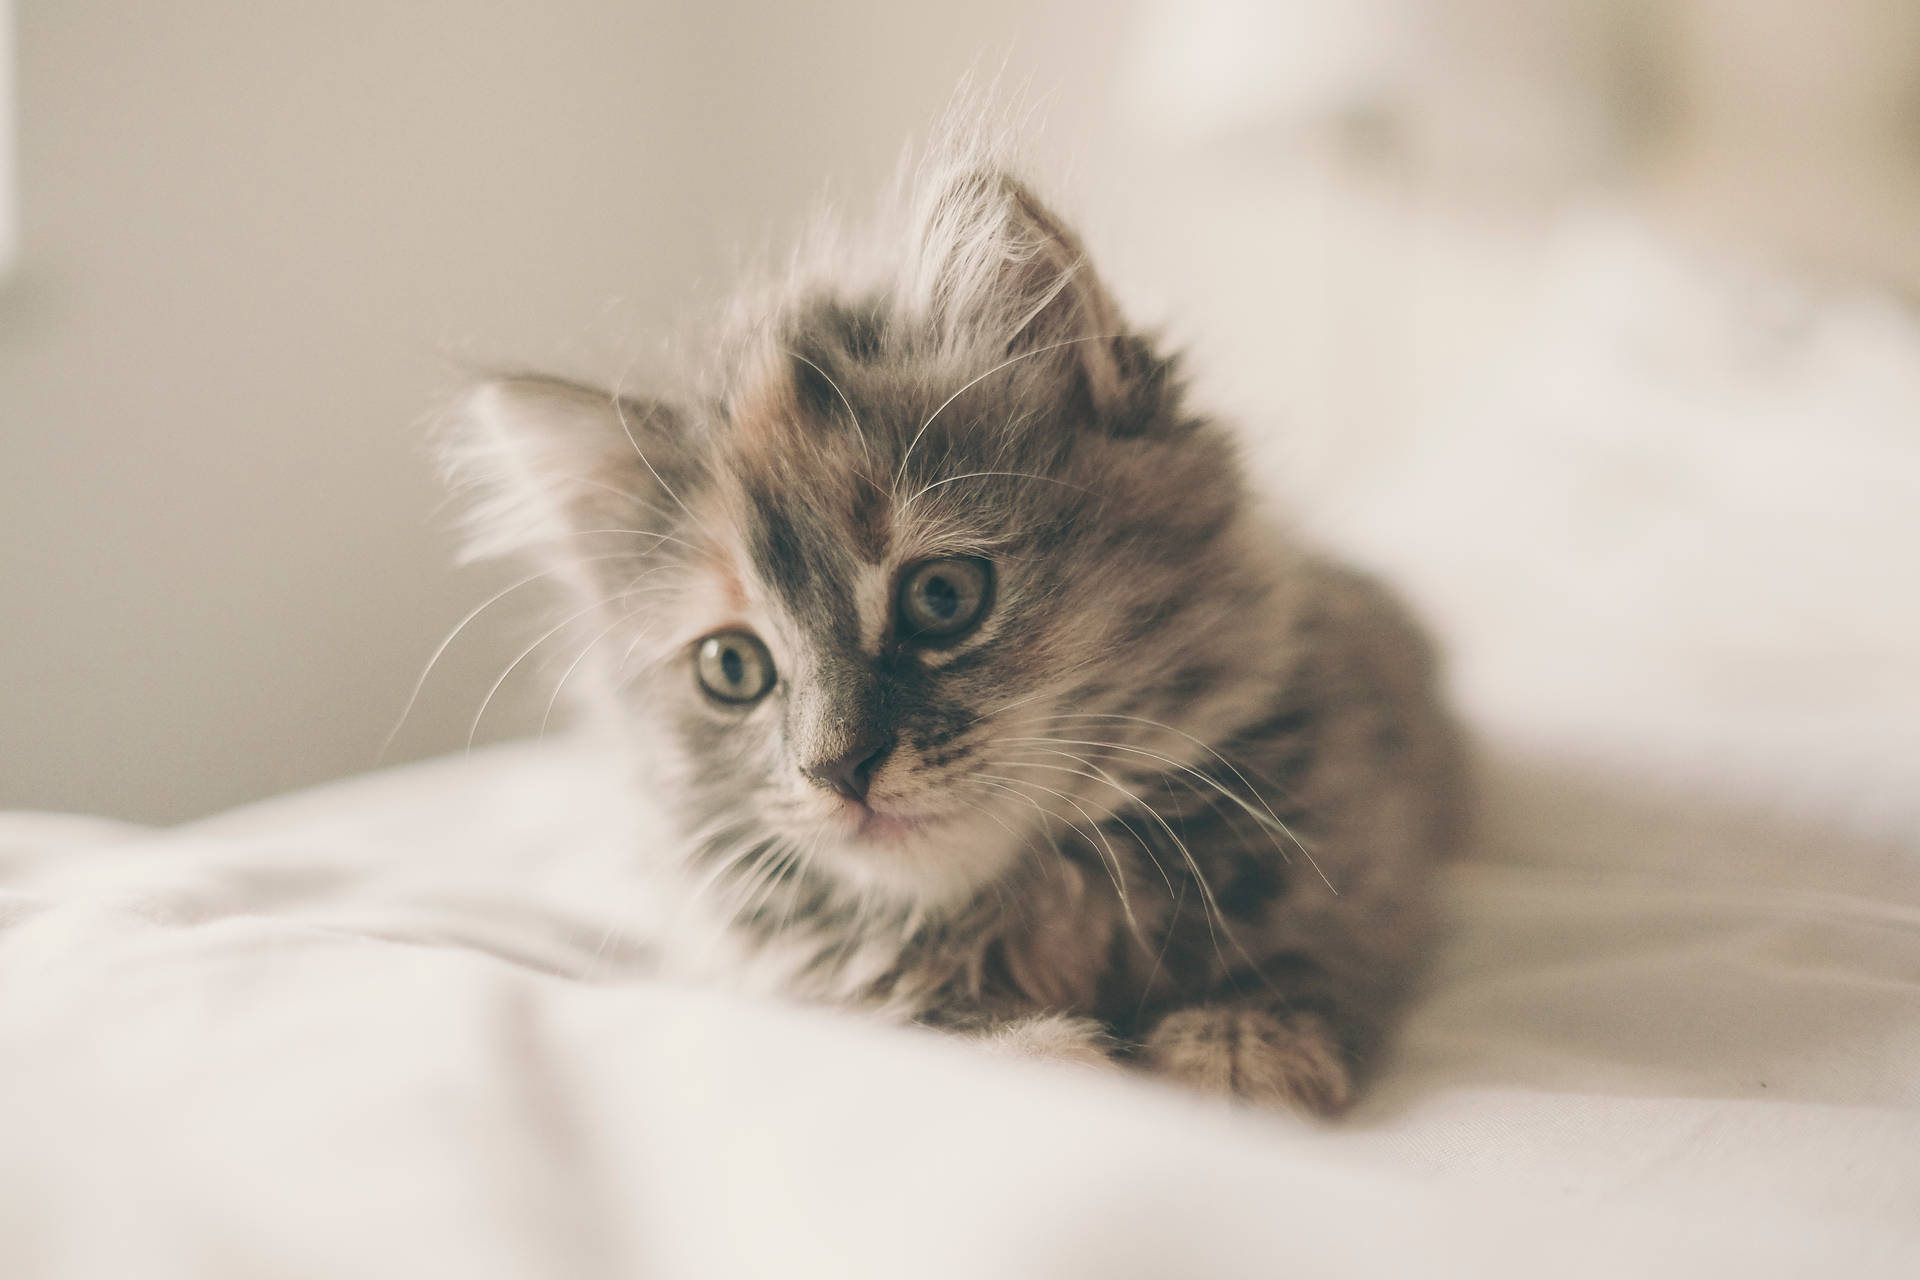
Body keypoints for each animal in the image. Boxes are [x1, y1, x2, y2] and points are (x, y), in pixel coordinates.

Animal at [449, 147, 1466, 1113]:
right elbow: (955, 1031)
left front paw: (1241, 1052)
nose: (837, 770)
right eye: (731, 667)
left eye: (942, 597)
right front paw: (1056, 1054)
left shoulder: (1366, 843)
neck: (1045, 905)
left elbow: (1308, 952)